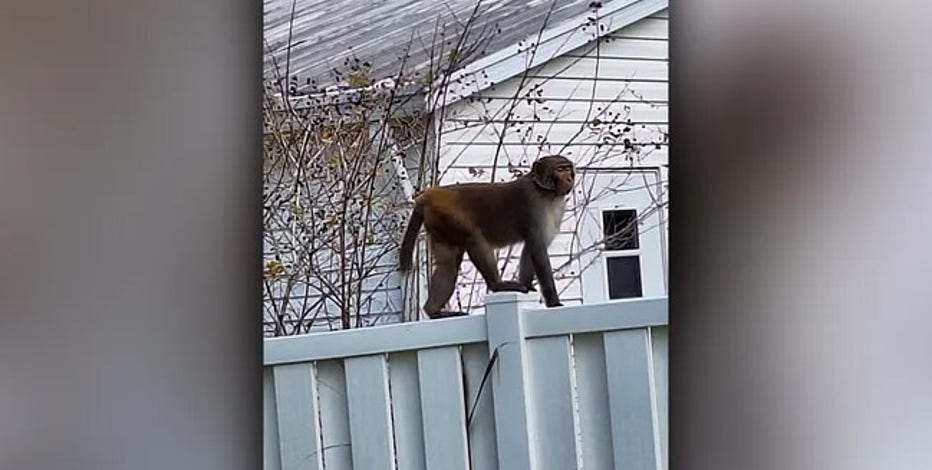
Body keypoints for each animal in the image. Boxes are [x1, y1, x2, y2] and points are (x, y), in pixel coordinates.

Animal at [399, 155, 575, 319]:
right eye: (560, 169)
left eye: (567, 168)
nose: (569, 178)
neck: (546, 192)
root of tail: (429, 195)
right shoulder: (533, 204)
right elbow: (538, 250)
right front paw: (554, 302)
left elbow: (530, 249)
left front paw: (527, 285)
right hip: (447, 214)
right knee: (473, 238)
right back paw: (496, 285)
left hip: (439, 223)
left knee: (447, 266)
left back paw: (434, 311)